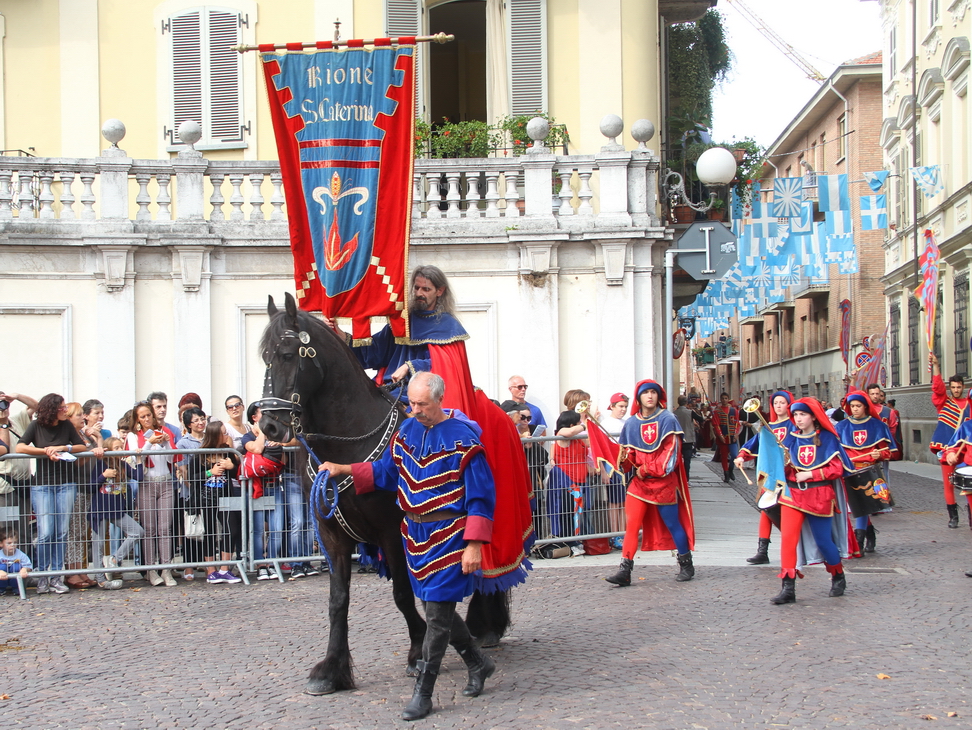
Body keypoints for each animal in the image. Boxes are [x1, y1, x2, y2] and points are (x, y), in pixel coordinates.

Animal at [262, 292, 512, 692]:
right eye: (265, 357)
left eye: (287, 354)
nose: (268, 425)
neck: (349, 439)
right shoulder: (332, 535)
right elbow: (338, 600)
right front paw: (331, 669)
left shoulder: (393, 532)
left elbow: (403, 594)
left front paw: (417, 650)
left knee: (488, 571)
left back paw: (487, 626)